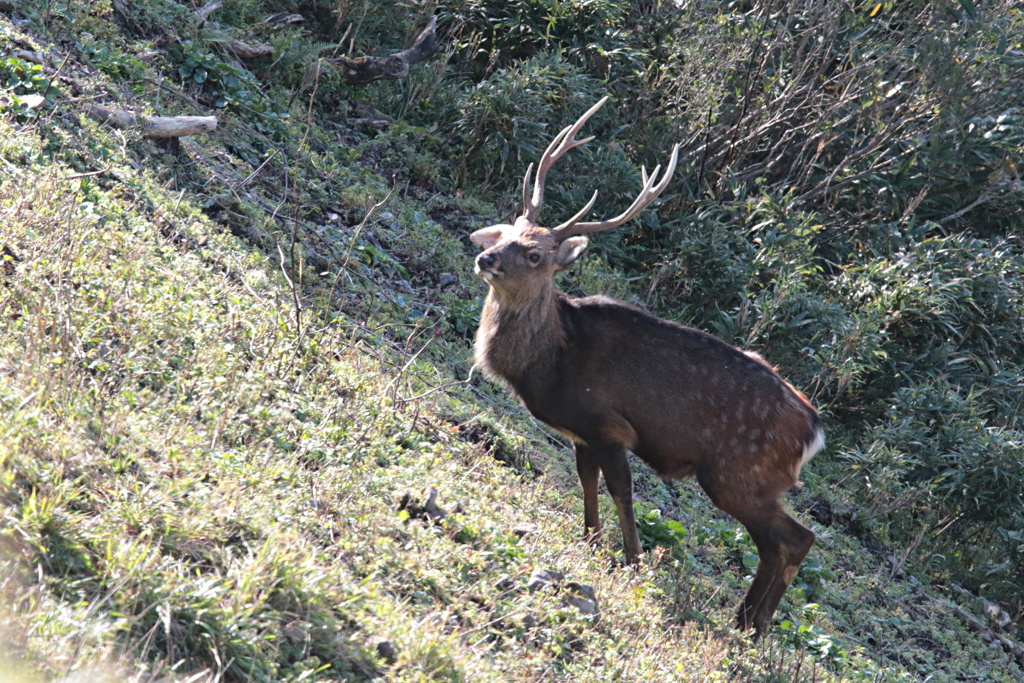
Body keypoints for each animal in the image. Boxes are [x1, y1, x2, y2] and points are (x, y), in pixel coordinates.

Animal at [468, 96, 823, 634]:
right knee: (775, 543)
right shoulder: (581, 432)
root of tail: (813, 430)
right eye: (506, 230)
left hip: (739, 473)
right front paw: (591, 541)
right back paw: (745, 623)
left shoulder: (608, 423)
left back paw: (753, 626)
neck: (553, 362)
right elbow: (587, 483)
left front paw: (632, 562)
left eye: (534, 254)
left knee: (796, 537)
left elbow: (623, 490)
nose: (486, 258)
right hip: (750, 481)